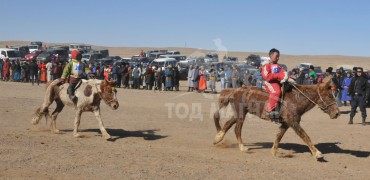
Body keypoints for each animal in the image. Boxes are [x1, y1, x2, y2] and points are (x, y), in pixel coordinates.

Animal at [212, 75, 340, 159]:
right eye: (329, 96)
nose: (337, 113)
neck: (296, 99)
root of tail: (235, 90)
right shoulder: (293, 122)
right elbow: (305, 136)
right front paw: (317, 153)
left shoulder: (286, 123)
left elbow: (279, 136)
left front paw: (273, 151)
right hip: (241, 114)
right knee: (237, 129)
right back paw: (242, 147)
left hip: (239, 114)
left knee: (228, 123)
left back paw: (218, 138)